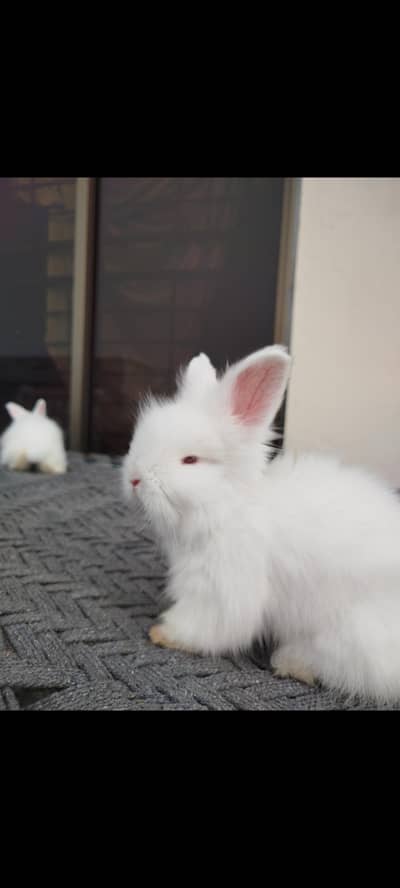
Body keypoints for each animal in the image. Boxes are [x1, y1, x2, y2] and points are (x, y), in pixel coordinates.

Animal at [122, 345, 400, 703]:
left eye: (190, 460)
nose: (134, 479)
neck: (228, 507)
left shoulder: (223, 587)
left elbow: (210, 624)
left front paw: (162, 632)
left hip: (354, 636)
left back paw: (293, 663)